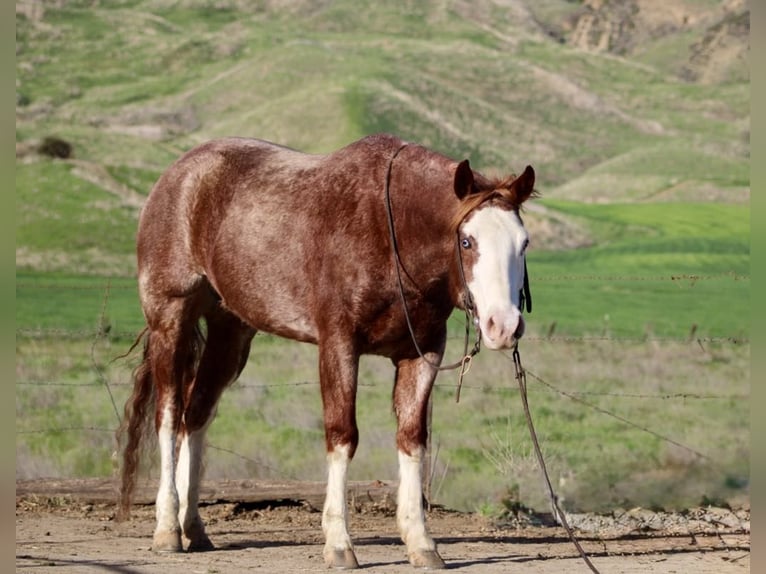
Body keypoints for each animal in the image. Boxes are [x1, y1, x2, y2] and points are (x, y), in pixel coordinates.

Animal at [118, 133, 536, 569]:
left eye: (523, 243)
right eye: (467, 241)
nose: (503, 326)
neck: (391, 231)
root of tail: (179, 173)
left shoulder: (423, 354)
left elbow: (412, 439)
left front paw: (421, 542)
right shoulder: (339, 345)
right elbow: (342, 435)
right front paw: (338, 543)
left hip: (230, 332)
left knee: (196, 416)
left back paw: (193, 527)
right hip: (171, 320)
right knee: (168, 416)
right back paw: (167, 528)